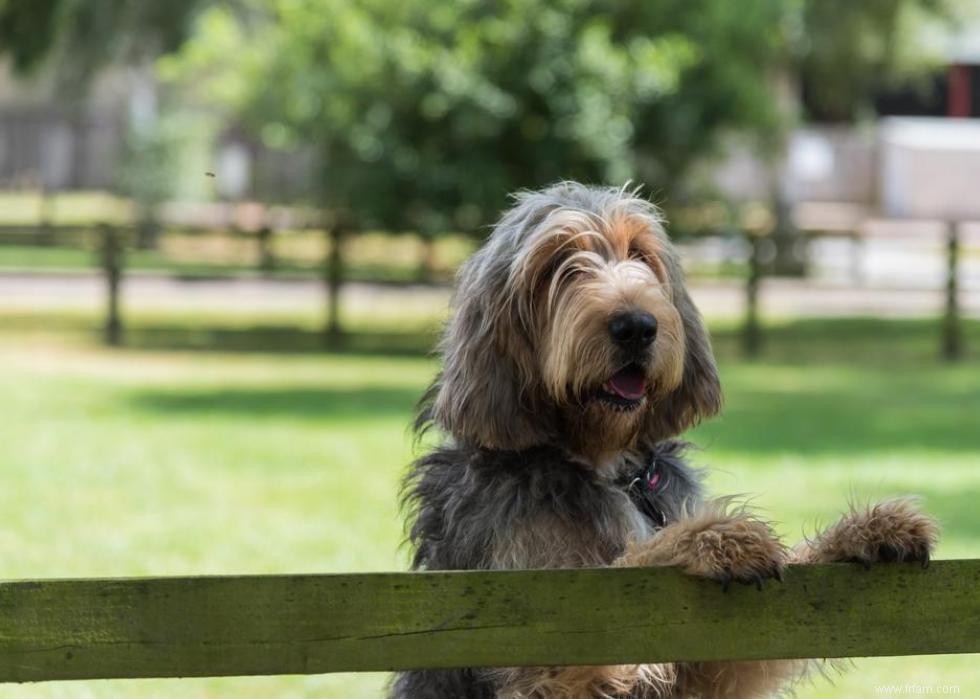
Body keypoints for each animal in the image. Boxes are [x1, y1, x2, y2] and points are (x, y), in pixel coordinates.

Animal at [392, 183, 940, 696]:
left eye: (640, 253)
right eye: (557, 264)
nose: (637, 325)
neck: (607, 463)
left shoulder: (707, 664)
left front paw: (866, 530)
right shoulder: (539, 630)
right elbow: (629, 564)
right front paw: (712, 538)